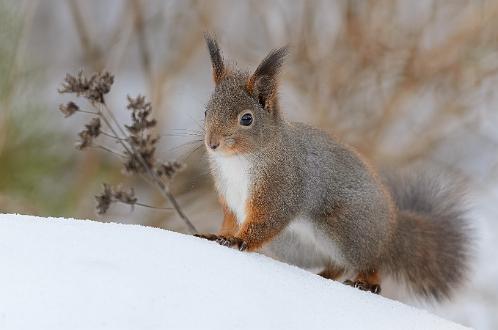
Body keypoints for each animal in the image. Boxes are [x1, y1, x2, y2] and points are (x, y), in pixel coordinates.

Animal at [196, 35, 470, 300]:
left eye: (246, 118)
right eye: (207, 110)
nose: (212, 143)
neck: (238, 160)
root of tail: (390, 231)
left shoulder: (280, 188)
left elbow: (266, 220)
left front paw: (237, 240)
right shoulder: (230, 197)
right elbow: (230, 221)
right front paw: (216, 236)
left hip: (346, 231)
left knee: (368, 263)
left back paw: (367, 283)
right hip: (294, 245)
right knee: (338, 265)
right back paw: (325, 275)